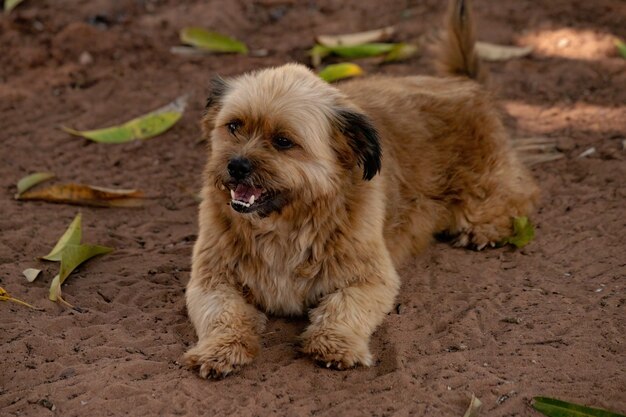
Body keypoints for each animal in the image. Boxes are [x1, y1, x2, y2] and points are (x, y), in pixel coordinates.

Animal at [184, 0, 536, 376]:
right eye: (234, 126)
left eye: (283, 141)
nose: (236, 165)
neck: (285, 222)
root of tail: (462, 83)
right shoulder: (211, 278)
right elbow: (223, 313)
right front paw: (220, 349)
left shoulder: (371, 276)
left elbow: (344, 306)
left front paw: (334, 344)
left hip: (482, 187)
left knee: (519, 194)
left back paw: (486, 228)